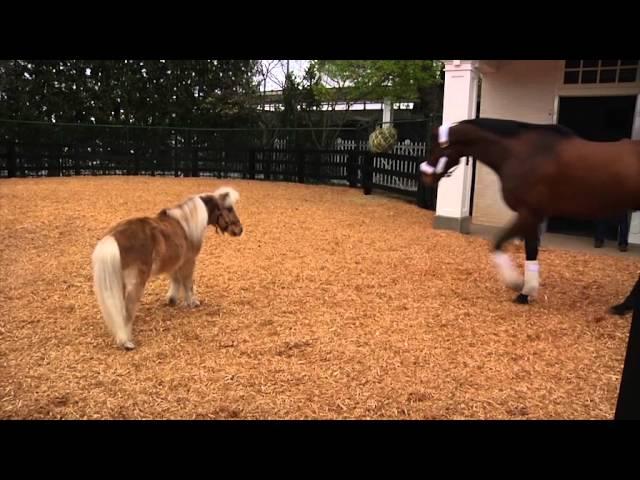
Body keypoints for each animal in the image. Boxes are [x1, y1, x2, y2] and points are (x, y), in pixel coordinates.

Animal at [93, 187, 245, 348]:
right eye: (229, 208)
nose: (240, 229)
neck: (187, 224)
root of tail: (113, 237)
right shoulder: (189, 261)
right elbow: (188, 283)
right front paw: (193, 302)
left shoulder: (176, 262)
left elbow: (175, 280)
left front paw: (172, 300)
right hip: (136, 283)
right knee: (128, 311)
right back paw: (126, 342)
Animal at [420, 119, 640, 316]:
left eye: (435, 147)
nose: (425, 177)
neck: (520, 153)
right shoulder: (532, 216)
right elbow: (529, 250)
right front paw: (526, 290)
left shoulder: (528, 213)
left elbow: (499, 244)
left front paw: (520, 286)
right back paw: (625, 306)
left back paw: (623, 306)